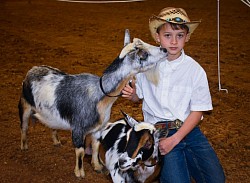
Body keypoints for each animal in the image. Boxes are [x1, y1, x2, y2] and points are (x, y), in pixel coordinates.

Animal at [17, 30, 166, 179]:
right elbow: (80, 151)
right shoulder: (78, 129)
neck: (100, 95)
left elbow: (95, 146)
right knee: (24, 126)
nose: (164, 50)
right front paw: (79, 173)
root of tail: (32, 70)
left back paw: (56, 141)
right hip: (25, 105)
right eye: (144, 54)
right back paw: (24, 146)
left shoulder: (98, 129)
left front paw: (97, 166)